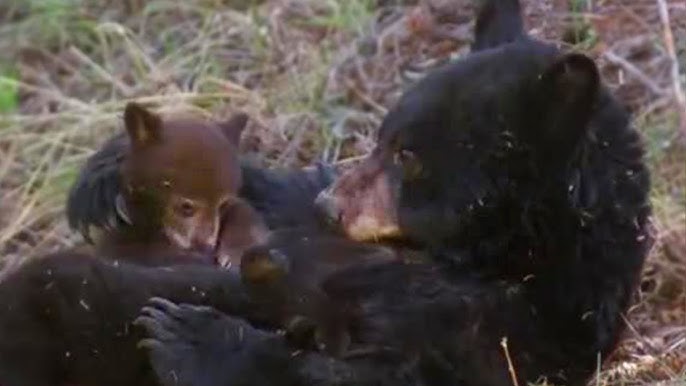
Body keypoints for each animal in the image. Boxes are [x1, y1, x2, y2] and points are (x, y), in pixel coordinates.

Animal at [136, 0, 656, 384]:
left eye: (409, 155)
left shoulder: (492, 332)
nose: (329, 207)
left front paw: (187, 334)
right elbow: (280, 193)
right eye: (382, 138)